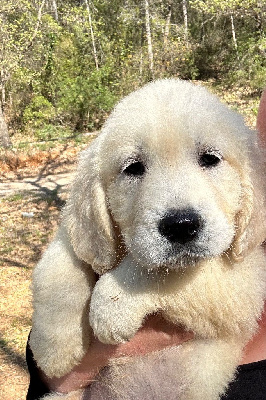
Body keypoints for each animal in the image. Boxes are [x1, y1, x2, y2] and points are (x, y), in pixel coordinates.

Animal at [29, 79, 266, 400]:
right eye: (133, 167)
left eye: (210, 159)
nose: (181, 226)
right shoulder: (80, 239)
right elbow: (56, 269)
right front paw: (53, 348)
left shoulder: (246, 281)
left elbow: (156, 271)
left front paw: (112, 308)